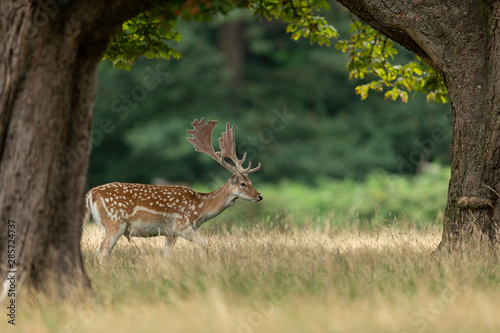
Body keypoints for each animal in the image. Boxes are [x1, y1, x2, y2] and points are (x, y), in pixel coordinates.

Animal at [83, 117, 262, 262]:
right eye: (243, 184)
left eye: (250, 181)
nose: (259, 196)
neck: (201, 207)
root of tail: (90, 194)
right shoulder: (181, 224)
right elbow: (204, 243)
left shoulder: (170, 232)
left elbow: (167, 255)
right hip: (114, 222)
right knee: (102, 250)